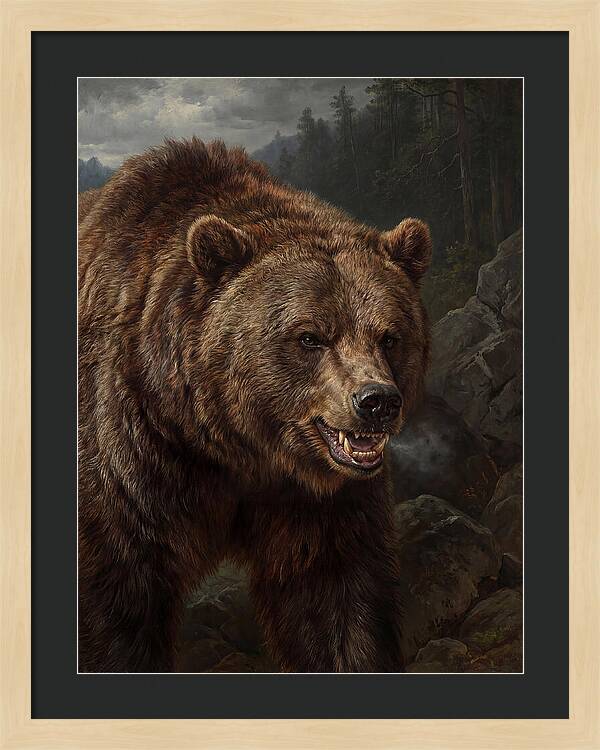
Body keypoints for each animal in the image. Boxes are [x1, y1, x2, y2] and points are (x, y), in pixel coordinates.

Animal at [78, 138, 431, 673]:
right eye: (310, 336)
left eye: (389, 336)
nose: (376, 402)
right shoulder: (129, 459)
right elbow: (117, 604)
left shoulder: (318, 502)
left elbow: (336, 602)